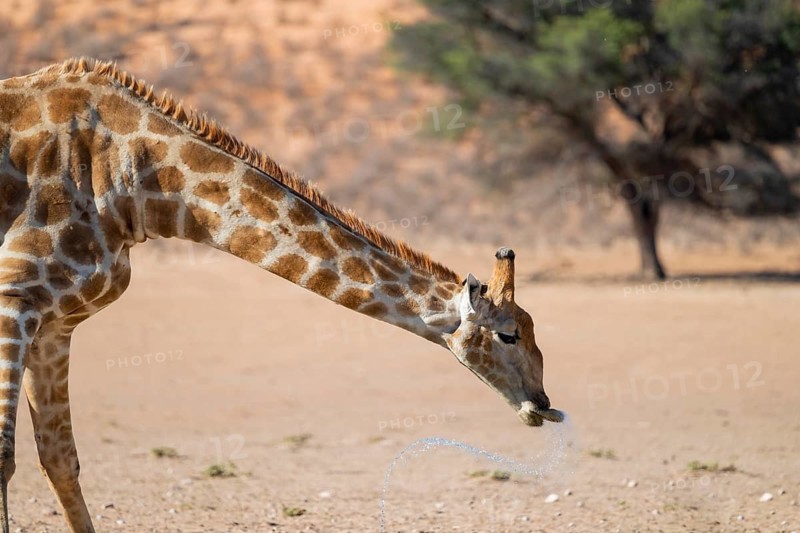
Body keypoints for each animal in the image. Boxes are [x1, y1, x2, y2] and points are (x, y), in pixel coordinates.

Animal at [0, 58, 563, 532]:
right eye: (509, 335)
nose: (541, 404)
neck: (133, 180)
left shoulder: (56, 324)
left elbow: (60, 458)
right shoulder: (15, 297)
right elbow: (6, 456)